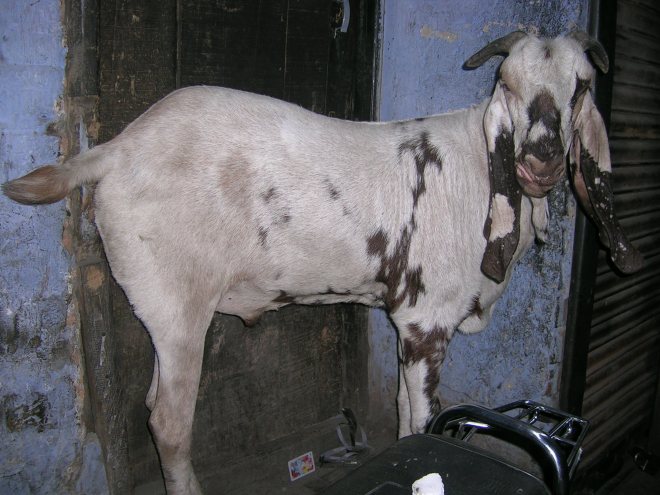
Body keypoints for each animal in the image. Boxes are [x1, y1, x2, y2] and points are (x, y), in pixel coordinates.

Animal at [2, 31, 642, 494]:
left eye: (581, 87)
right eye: (506, 83)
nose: (541, 160)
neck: (479, 170)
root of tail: (115, 150)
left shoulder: (408, 323)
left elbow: (403, 410)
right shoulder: (427, 320)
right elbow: (420, 418)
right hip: (177, 305)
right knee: (168, 421)